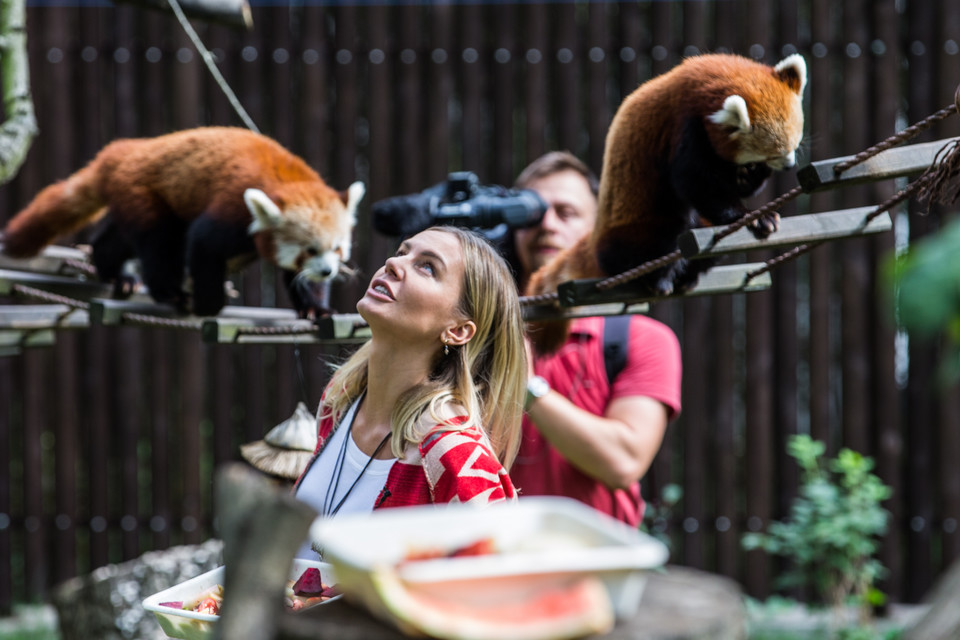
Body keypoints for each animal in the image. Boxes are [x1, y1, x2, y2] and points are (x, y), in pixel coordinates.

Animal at [1, 126, 362, 316]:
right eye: (309, 250)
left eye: (337, 249)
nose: (328, 271)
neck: (287, 181)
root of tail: (121, 152)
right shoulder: (233, 209)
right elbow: (203, 243)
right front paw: (209, 304)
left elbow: (299, 278)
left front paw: (315, 307)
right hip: (145, 192)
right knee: (159, 241)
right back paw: (168, 291)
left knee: (115, 239)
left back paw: (115, 273)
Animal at [528, 53, 808, 356]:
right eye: (774, 153)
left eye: (795, 144)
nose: (789, 164)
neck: (708, 78)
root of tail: (597, 239)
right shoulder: (685, 126)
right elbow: (693, 182)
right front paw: (750, 216)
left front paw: (751, 180)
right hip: (636, 231)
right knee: (670, 229)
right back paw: (659, 280)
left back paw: (687, 277)